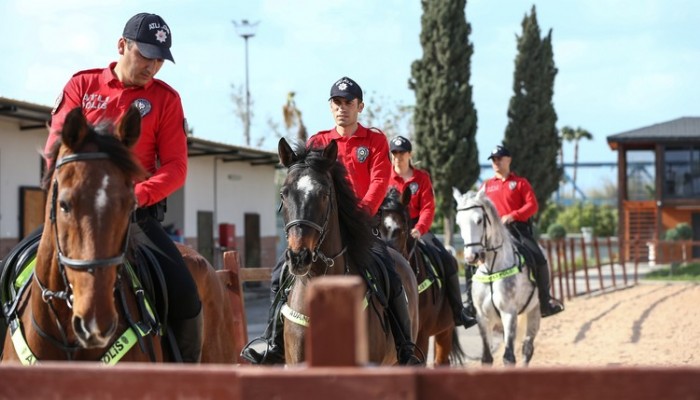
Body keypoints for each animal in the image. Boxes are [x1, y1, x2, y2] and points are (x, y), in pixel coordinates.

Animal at [454, 188, 540, 366]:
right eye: (458, 223)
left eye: (479, 220)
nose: (471, 257)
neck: (492, 270)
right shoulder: (482, 317)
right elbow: (487, 358)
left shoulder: (509, 313)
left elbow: (509, 357)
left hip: (534, 311)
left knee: (527, 348)